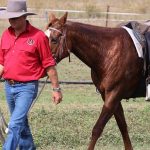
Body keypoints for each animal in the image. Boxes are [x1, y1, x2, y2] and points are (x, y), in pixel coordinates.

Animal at [45, 12, 145, 149]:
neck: (108, 51)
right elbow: (122, 126)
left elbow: (97, 128)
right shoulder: (109, 96)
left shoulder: (114, 94)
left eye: (54, 39)